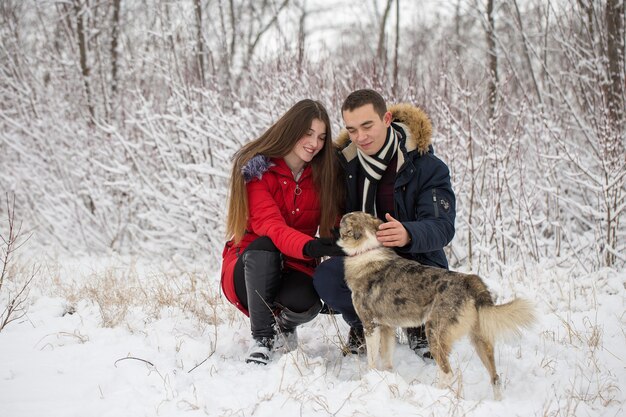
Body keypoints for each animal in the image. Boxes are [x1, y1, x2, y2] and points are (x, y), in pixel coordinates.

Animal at [336, 213, 536, 398]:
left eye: (344, 220)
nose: (340, 217)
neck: (366, 250)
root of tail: (470, 281)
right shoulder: (387, 327)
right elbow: (387, 360)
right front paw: (387, 378)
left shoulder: (370, 325)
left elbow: (371, 360)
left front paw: (368, 379)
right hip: (480, 340)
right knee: (495, 377)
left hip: (434, 333)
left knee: (448, 373)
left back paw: (436, 393)